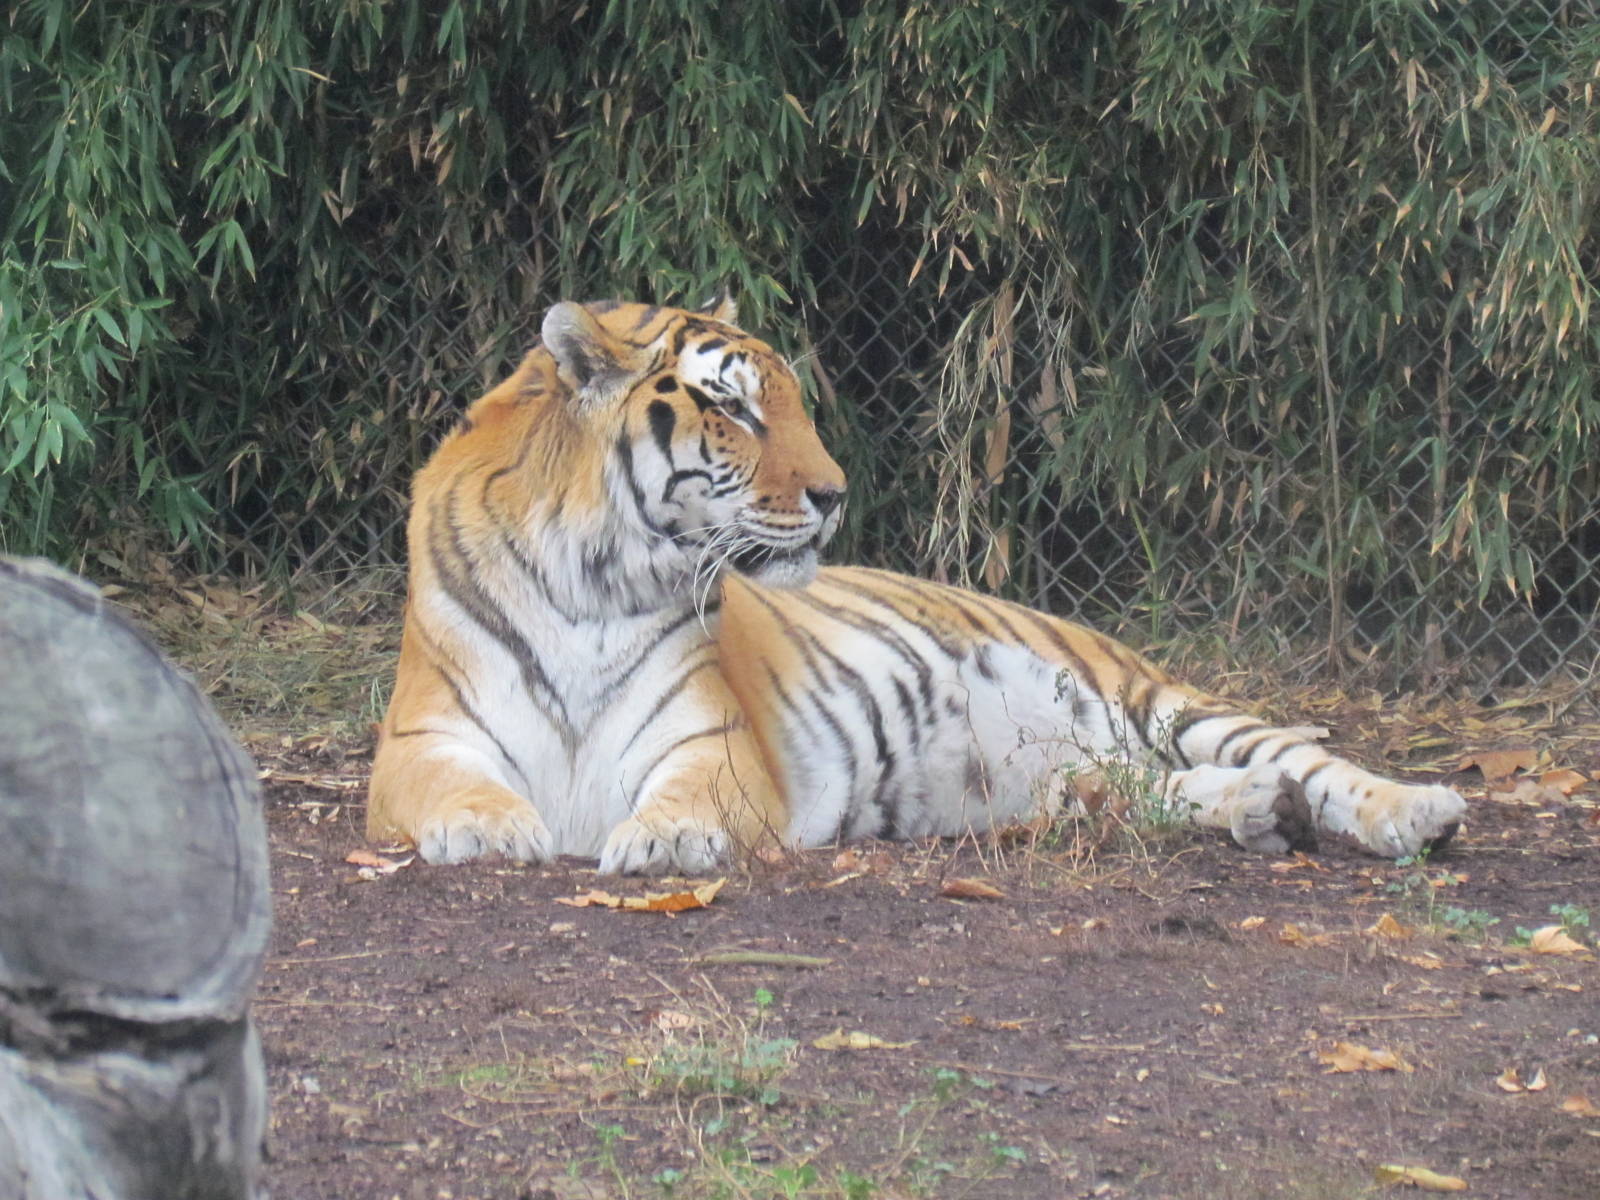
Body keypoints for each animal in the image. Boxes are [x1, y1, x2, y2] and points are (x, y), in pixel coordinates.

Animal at [367, 296, 1467, 874]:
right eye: (734, 409)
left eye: (792, 401)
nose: (833, 494)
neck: (594, 581)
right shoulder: (420, 741)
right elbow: (450, 786)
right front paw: (492, 826)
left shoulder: (717, 744)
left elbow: (686, 796)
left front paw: (664, 841)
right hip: (1082, 776)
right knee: (1149, 792)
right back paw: (1257, 812)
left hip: (1153, 697)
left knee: (1314, 763)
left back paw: (1414, 812)